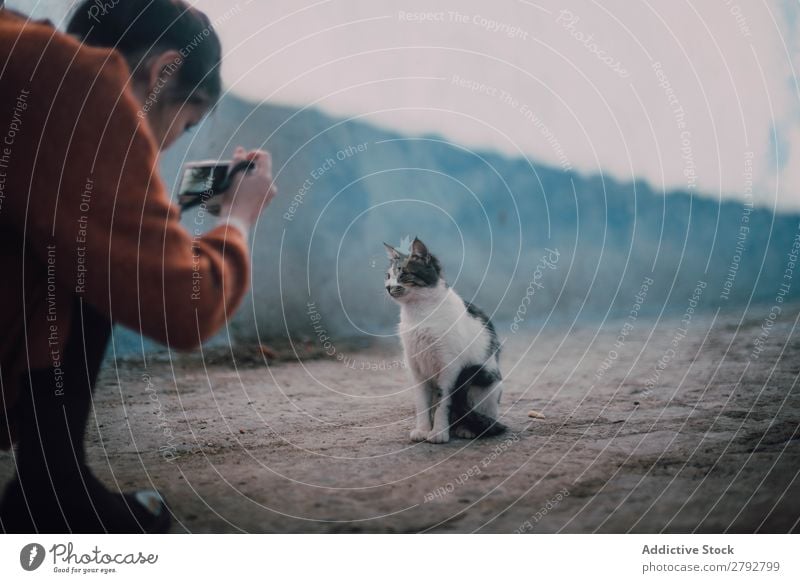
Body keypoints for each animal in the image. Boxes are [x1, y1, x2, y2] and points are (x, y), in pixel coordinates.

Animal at [386, 237, 506, 442]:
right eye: (387, 276)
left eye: (403, 274)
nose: (387, 287)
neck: (419, 314)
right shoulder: (416, 369)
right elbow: (422, 404)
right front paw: (423, 430)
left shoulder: (450, 368)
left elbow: (444, 402)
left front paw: (438, 433)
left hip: (488, 383)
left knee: (476, 415)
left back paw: (465, 429)